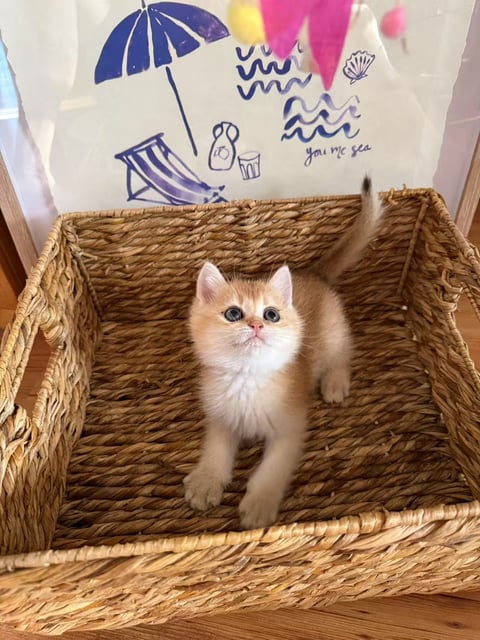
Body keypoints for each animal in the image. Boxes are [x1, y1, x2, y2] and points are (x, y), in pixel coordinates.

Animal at [184, 176, 382, 528]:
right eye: (233, 313)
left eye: (271, 314)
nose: (256, 325)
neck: (247, 379)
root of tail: (313, 273)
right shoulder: (220, 418)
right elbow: (215, 449)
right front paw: (206, 481)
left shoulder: (290, 429)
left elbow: (271, 470)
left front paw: (259, 505)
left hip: (332, 336)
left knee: (343, 354)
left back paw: (335, 383)